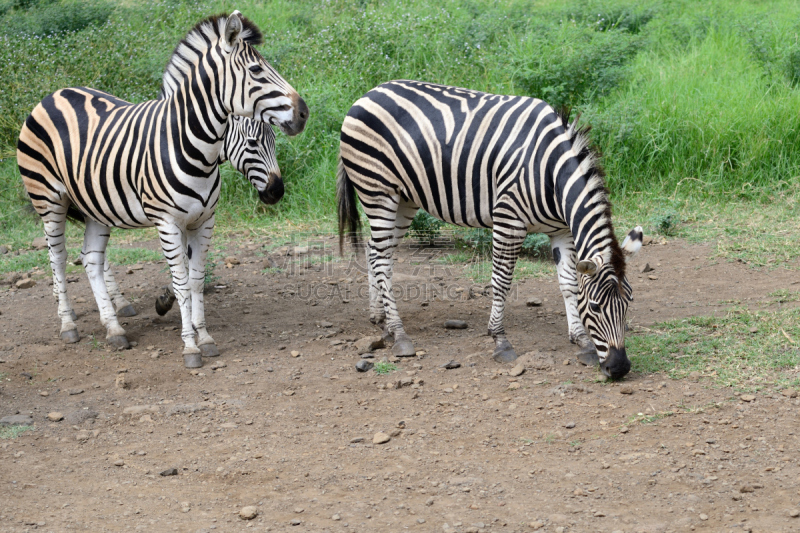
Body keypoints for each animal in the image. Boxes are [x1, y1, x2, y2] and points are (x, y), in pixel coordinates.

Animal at [18, 13, 308, 370]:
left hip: (94, 204)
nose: (276, 192)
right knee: (57, 259)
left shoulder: (202, 221)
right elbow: (182, 281)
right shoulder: (167, 222)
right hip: (49, 199)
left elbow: (194, 279)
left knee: (91, 259)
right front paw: (189, 346)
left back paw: (114, 326)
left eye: (272, 141)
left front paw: (202, 335)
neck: (190, 145)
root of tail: (54, 94)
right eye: (256, 70)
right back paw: (69, 323)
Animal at [338, 80, 644, 378]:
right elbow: (501, 281)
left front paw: (580, 338)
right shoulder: (508, 220)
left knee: (376, 252)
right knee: (380, 258)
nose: (619, 368)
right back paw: (399, 333)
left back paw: (380, 319)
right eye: (595, 306)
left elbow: (568, 283)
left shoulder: (562, 231)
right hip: (377, 190)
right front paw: (499, 339)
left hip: (404, 198)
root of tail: (368, 93)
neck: (551, 173)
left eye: (629, 302)